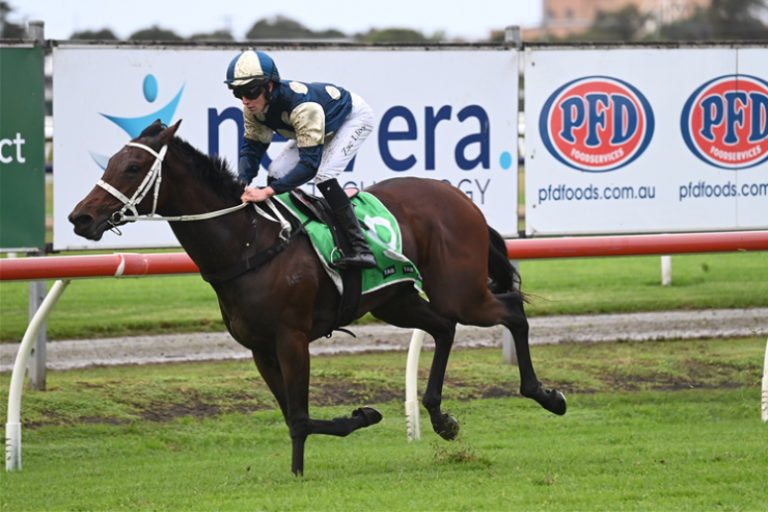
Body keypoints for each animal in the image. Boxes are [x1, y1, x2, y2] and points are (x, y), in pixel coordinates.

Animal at [69, 120, 568, 476]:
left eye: (133, 168)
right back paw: (440, 417)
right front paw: (339, 435)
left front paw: (343, 432)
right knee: (445, 328)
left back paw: (545, 395)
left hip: (460, 291)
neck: (248, 241)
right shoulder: (260, 348)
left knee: (511, 311)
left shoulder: (291, 338)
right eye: (110, 162)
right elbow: (291, 412)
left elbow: (301, 416)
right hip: (396, 300)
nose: (80, 217)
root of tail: (460, 198)